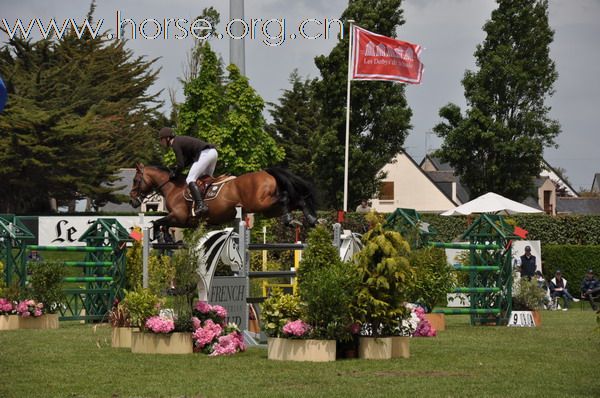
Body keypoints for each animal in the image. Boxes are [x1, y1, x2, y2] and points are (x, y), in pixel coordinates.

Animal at [127, 162, 318, 230]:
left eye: (136, 180)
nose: (132, 200)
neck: (172, 187)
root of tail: (267, 173)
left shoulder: (179, 218)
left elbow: (158, 222)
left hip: (261, 203)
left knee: (285, 197)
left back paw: (290, 220)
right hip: (270, 210)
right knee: (297, 200)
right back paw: (309, 219)